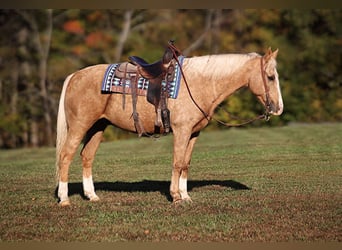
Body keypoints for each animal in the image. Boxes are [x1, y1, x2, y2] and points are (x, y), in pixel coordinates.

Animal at [55, 47, 284, 206]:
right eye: (271, 77)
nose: (279, 108)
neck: (199, 83)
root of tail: (75, 76)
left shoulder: (194, 133)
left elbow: (185, 164)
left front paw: (185, 196)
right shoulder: (182, 131)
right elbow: (177, 162)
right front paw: (175, 196)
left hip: (98, 127)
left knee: (87, 156)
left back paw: (92, 196)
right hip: (80, 126)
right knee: (65, 157)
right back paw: (64, 199)